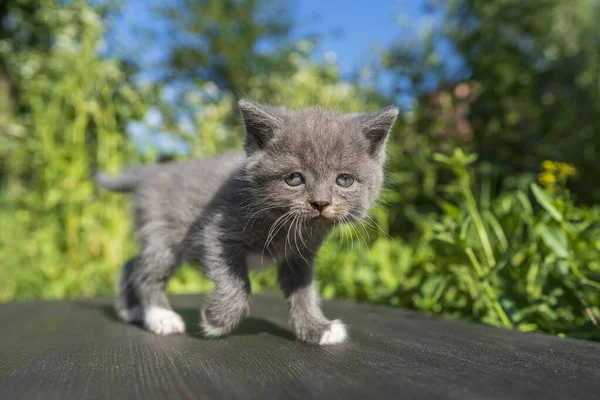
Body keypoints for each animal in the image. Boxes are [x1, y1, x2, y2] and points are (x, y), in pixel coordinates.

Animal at [97, 99, 398, 344]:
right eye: (294, 178)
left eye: (344, 180)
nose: (321, 203)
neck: (285, 225)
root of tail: (151, 173)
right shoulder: (217, 232)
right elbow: (239, 283)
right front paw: (217, 320)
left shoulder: (300, 256)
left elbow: (304, 292)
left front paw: (316, 328)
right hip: (165, 234)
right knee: (146, 271)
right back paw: (161, 316)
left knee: (132, 263)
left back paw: (131, 310)